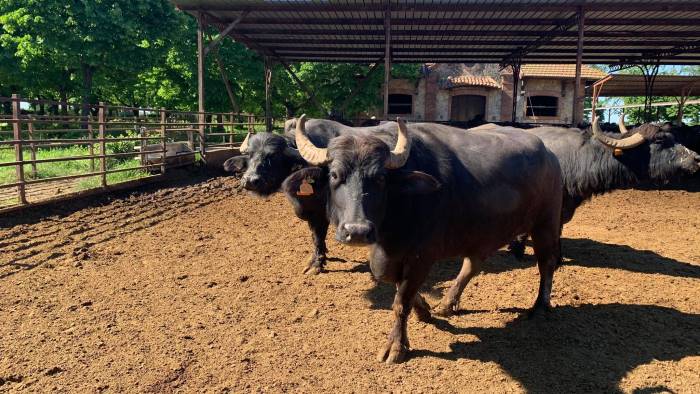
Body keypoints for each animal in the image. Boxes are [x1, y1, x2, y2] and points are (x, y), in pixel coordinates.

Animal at [224, 118, 400, 276]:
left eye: (273, 156)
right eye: (249, 154)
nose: (250, 180)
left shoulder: (320, 214)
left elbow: (319, 236)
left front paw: (317, 264)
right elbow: (315, 238)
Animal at [290, 114, 564, 364]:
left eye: (380, 178)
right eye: (335, 175)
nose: (357, 231)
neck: (394, 218)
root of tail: (550, 156)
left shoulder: (422, 256)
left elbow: (401, 301)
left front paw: (396, 346)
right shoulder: (389, 256)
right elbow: (393, 282)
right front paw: (424, 310)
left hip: (546, 223)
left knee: (546, 264)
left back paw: (540, 306)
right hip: (481, 234)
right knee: (472, 265)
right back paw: (448, 303)